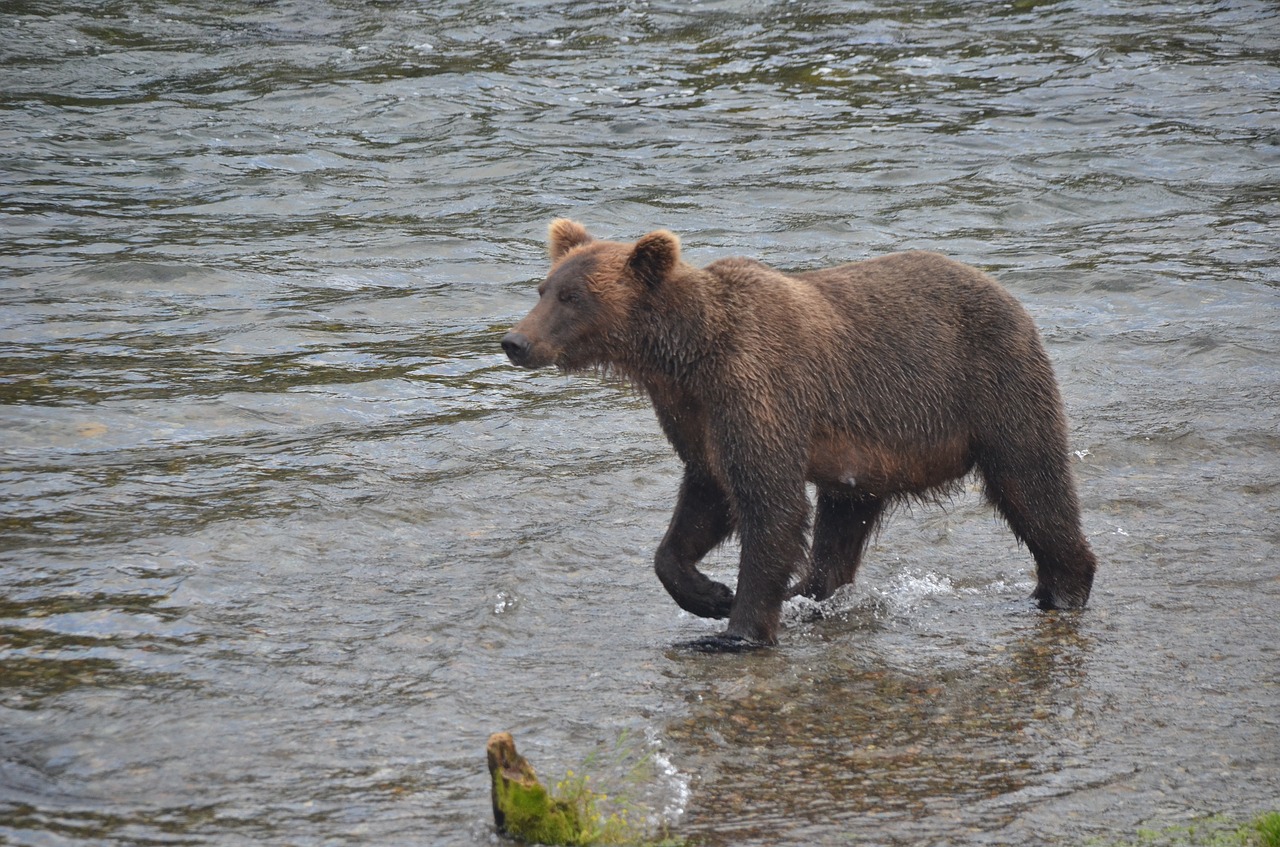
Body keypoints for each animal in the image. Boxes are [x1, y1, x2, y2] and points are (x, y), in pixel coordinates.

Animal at [499, 218, 1090, 649]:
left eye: (572, 297)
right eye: (543, 287)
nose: (515, 341)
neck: (685, 355)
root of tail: (1005, 291)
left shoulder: (756, 389)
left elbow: (769, 503)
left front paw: (736, 630)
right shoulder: (693, 413)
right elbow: (704, 497)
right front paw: (709, 593)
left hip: (993, 387)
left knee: (1032, 485)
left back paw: (1061, 589)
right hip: (869, 454)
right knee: (842, 523)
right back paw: (809, 594)